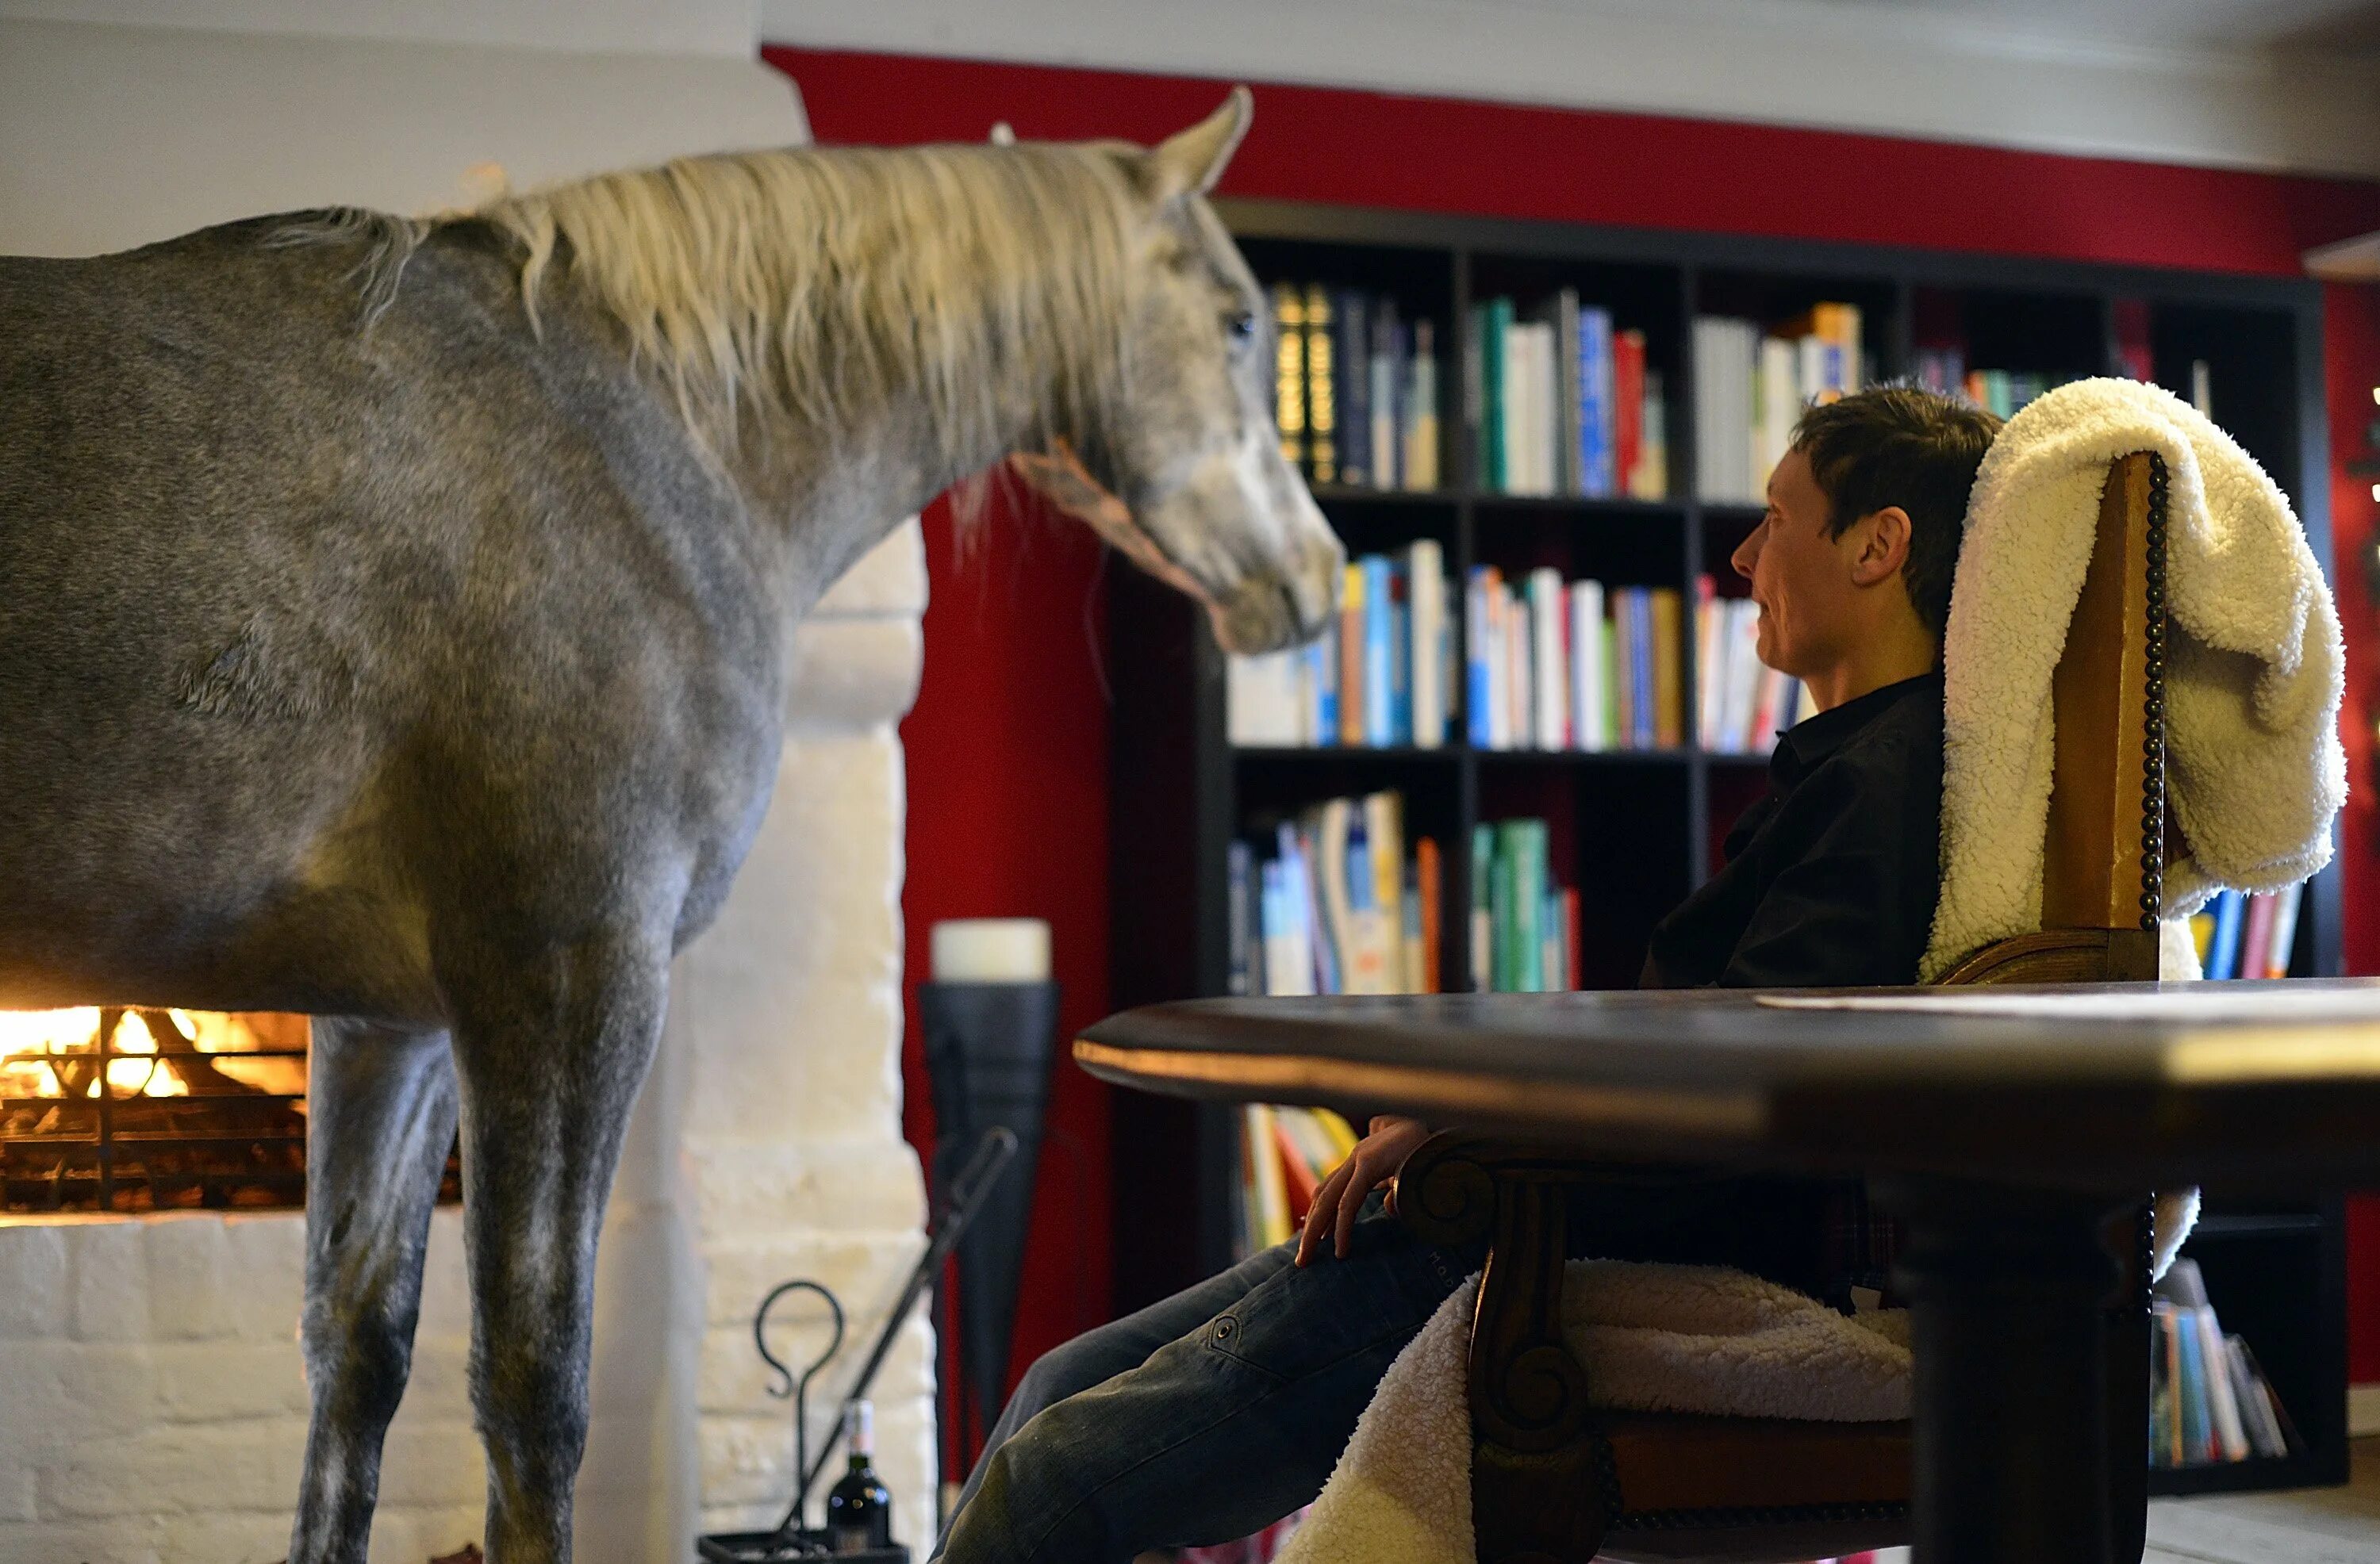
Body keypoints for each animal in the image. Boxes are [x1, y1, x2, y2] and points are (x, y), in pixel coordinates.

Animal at [0, 91, 1342, 1551]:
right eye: (1238, 323)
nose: (1319, 578)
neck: (648, 446)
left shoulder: (389, 1022)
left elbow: (354, 1358)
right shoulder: (568, 977)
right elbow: (534, 1391)